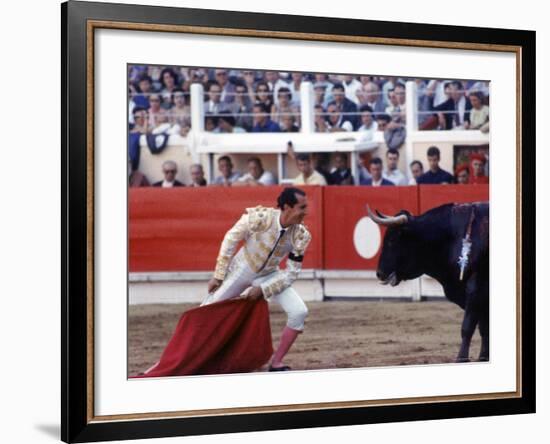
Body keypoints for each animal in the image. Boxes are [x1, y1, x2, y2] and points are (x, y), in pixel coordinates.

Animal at [370, 203, 492, 362]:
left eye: (392, 240)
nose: (379, 273)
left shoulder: (475, 287)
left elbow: (468, 326)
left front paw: (462, 358)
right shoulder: (480, 297)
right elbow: (484, 327)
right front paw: (484, 356)